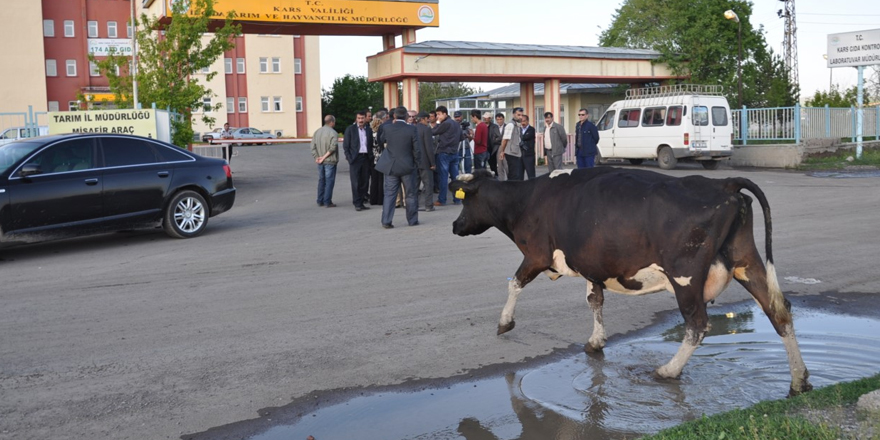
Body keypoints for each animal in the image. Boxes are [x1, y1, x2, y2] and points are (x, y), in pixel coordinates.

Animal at [450, 167, 816, 394]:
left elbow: (514, 283)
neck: (527, 201)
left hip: (684, 274)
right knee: (778, 310)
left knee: (697, 324)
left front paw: (504, 323)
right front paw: (596, 341)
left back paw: (668, 371)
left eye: (465, 200)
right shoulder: (593, 265)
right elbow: (594, 301)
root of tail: (722, 182)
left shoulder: (537, 255)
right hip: (746, 260)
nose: (455, 225)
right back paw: (799, 380)